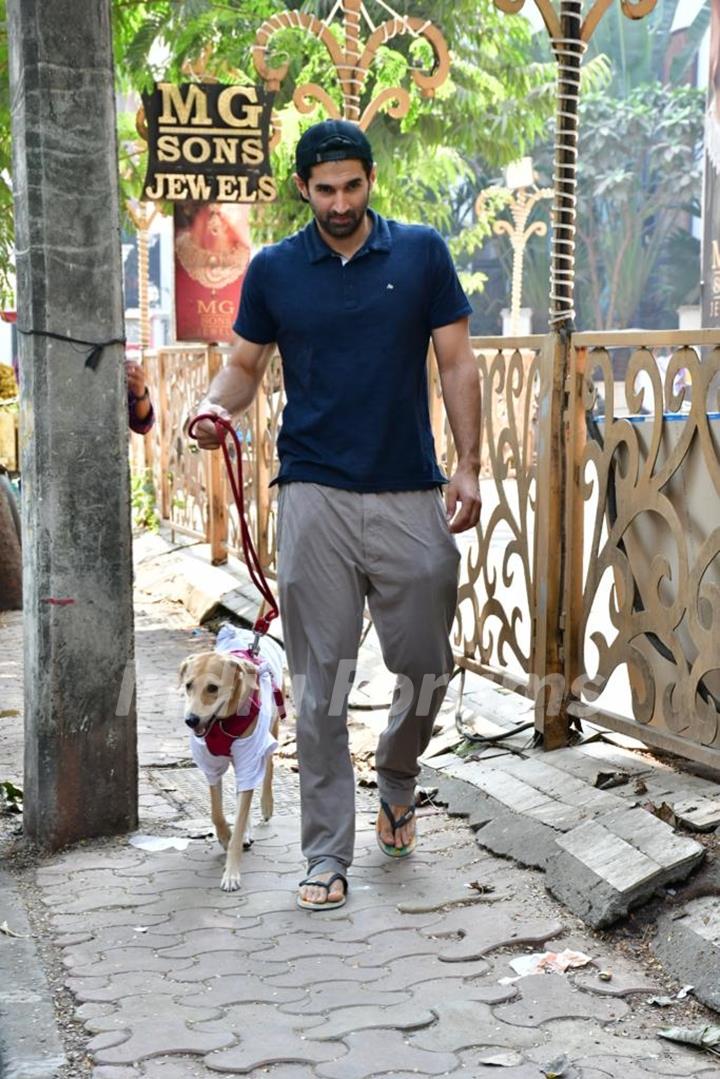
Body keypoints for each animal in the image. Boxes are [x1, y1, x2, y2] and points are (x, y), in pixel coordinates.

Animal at [179, 647, 278, 893]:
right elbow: (216, 812)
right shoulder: (210, 764)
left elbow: (240, 816)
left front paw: (231, 874)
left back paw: (266, 805)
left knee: (268, 767)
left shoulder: (250, 756)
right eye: (188, 685)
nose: (191, 720)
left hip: (271, 730)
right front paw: (225, 837)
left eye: (213, 688)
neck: (222, 722)